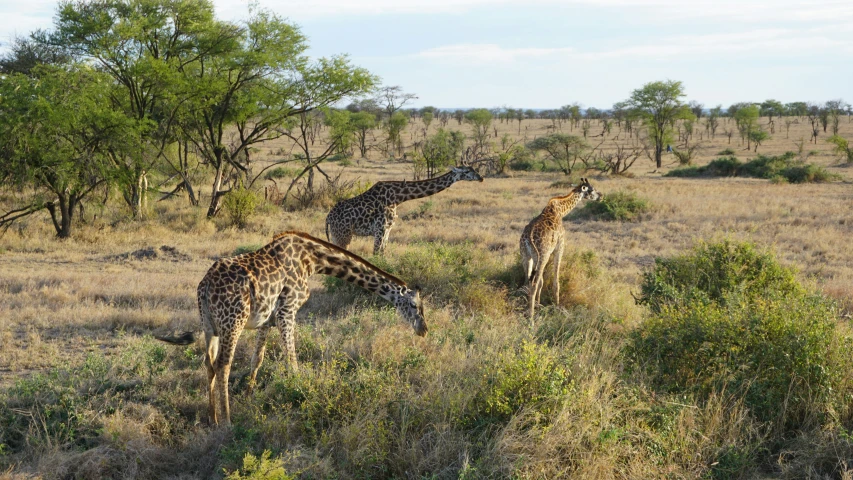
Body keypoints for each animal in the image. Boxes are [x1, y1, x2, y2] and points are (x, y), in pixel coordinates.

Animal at [154, 232, 426, 424]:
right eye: (415, 306)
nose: (423, 330)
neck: (312, 261)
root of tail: (205, 285)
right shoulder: (288, 310)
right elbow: (292, 361)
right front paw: (300, 395)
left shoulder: (268, 319)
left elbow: (257, 359)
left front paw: (250, 396)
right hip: (233, 323)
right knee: (223, 365)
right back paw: (227, 421)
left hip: (210, 326)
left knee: (208, 362)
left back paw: (212, 418)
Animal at [324, 165, 482, 255]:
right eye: (467, 171)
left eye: (474, 169)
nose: (481, 178)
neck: (398, 197)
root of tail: (328, 217)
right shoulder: (380, 228)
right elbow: (376, 253)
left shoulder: (388, 229)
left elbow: (383, 253)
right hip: (343, 235)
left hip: (336, 235)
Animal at [520, 178, 600, 320]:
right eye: (592, 189)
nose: (600, 196)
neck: (561, 211)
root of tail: (528, 237)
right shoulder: (560, 246)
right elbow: (556, 281)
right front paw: (557, 307)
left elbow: (542, 282)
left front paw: (539, 305)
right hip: (543, 255)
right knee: (533, 283)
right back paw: (531, 318)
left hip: (526, 256)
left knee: (527, 281)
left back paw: (528, 309)